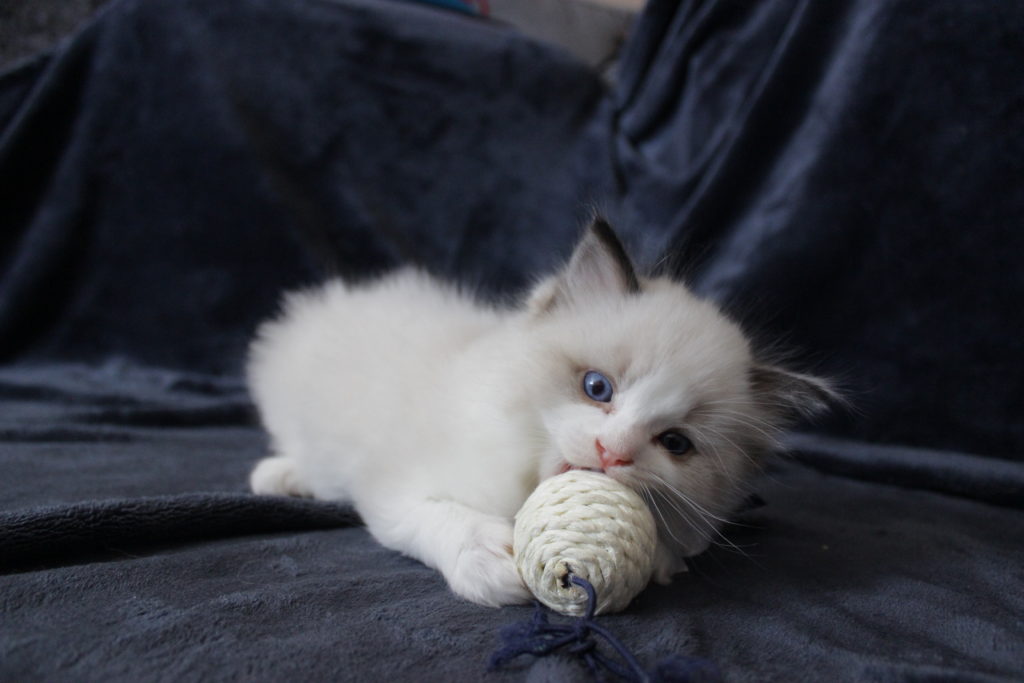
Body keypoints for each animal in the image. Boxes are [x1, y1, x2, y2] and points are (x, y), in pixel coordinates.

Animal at [247, 220, 831, 610]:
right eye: (597, 388)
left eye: (675, 443)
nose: (611, 452)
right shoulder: (389, 483)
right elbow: (435, 515)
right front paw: (490, 560)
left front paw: (663, 561)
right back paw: (278, 477)